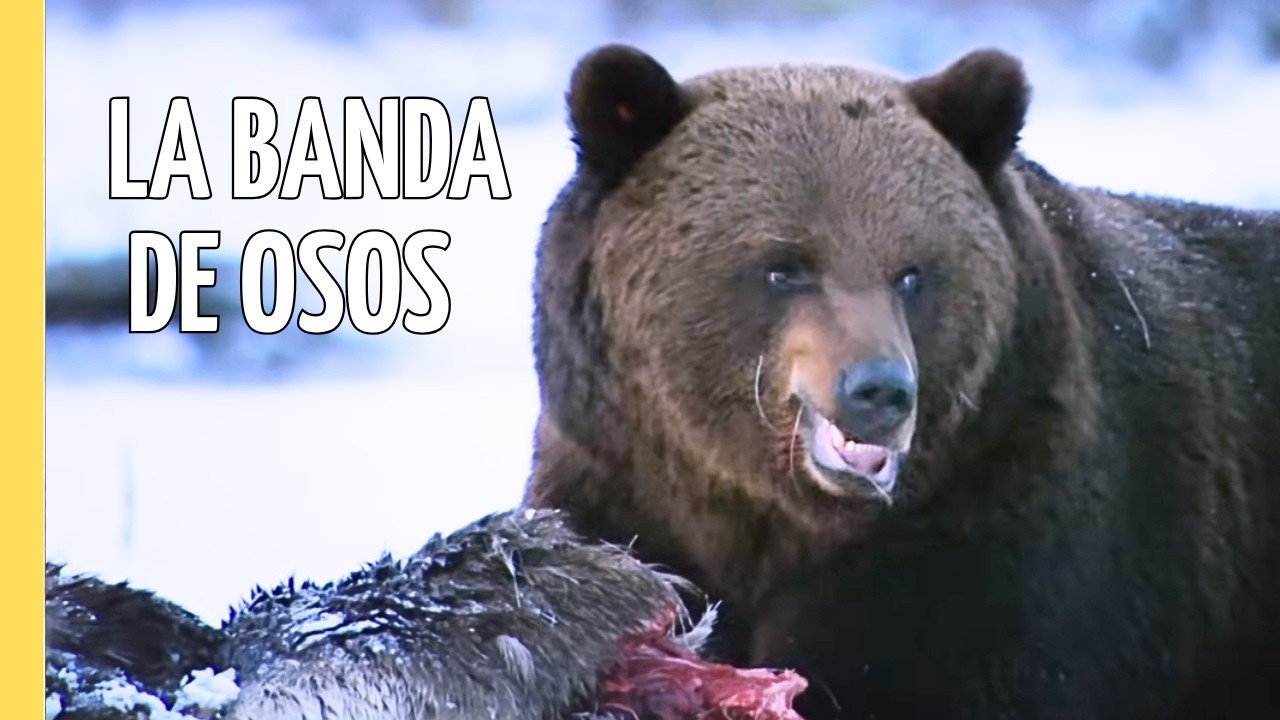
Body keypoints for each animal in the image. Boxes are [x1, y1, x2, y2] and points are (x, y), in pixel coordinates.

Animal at [524, 43, 1280, 719]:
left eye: (913, 272)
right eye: (784, 266)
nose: (879, 389)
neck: (760, 514)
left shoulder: (993, 551)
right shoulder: (622, 489)